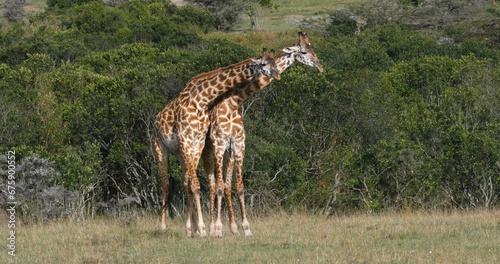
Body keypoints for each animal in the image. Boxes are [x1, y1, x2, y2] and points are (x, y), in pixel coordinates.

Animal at [152, 49, 282, 237]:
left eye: (274, 63)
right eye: (264, 64)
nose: (277, 74)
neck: (200, 100)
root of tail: (156, 119)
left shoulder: (197, 142)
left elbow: (194, 184)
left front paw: (199, 228)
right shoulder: (187, 140)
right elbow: (196, 185)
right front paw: (203, 229)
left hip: (179, 152)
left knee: (185, 182)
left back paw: (190, 228)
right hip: (160, 148)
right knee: (165, 184)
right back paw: (163, 226)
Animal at [203, 31, 324, 237]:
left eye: (313, 48)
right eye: (303, 51)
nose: (320, 67)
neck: (233, 103)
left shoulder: (238, 144)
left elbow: (239, 186)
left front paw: (245, 228)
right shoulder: (219, 144)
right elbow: (218, 187)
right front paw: (218, 229)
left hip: (228, 155)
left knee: (225, 184)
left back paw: (232, 228)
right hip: (209, 154)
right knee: (213, 185)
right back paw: (211, 228)